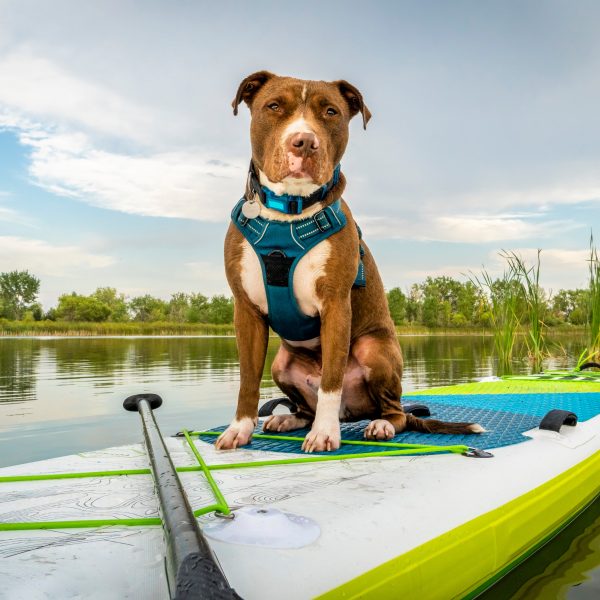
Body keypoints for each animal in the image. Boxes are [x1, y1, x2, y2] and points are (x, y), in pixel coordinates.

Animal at [216, 70, 482, 452]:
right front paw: (240, 428)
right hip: (281, 363)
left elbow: (331, 379)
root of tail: (353, 413)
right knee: (305, 405)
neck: (290, 212)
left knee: (396, 411)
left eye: (330, 112)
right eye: (274, 106)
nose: (304, 142)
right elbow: (248, 379)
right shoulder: (246, 311)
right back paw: (289, 417)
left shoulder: (336, 306)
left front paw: (324, 433)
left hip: (374, 349)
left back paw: (379, 425)